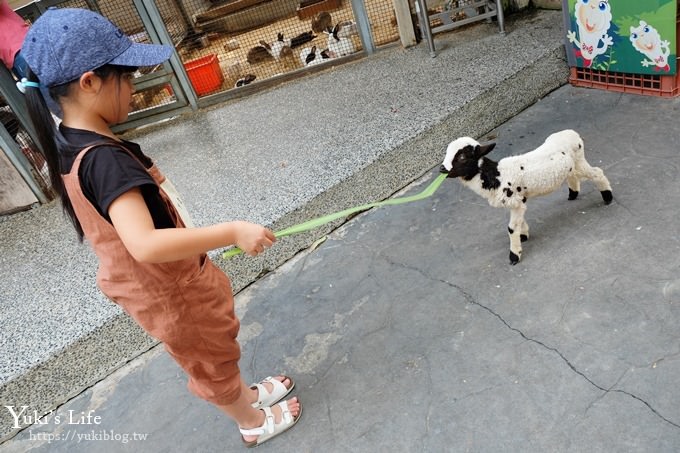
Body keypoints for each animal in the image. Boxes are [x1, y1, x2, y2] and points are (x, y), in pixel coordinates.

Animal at [438, 130, 612, 264]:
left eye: (462, 157)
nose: (442, 169)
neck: (495, 175)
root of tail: (573, 134)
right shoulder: (516, 202)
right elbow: (519, 222)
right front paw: (523, 236)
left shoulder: (515, 200)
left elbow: (511, 228)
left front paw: (514, 255)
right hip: (571, 167)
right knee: (573, 175)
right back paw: (573, 193)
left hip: (579, 161)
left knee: (597, 173)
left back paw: (607, 197)